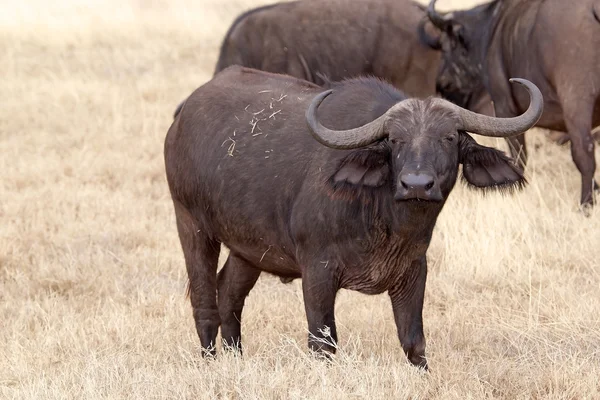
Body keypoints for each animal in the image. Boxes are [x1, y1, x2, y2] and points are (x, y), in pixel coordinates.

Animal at [164, 65, 544, 368]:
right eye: (395, 140)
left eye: (449, 138)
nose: (416, 184)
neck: (389, 222)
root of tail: (182, 115)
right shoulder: (317, 270)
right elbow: (323, 341)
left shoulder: (413, 269)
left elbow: (413, 340)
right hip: (191, 225)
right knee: (204, 299)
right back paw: (210, 360)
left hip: (249, 249)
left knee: (229, 293)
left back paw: (236, 357)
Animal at [422, 0, 600, 206]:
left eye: (446, 47)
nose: (441, 82)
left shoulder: (504, 107)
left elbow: (518, 154)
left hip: (575, 103)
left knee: (584, 152)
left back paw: (586, 203)